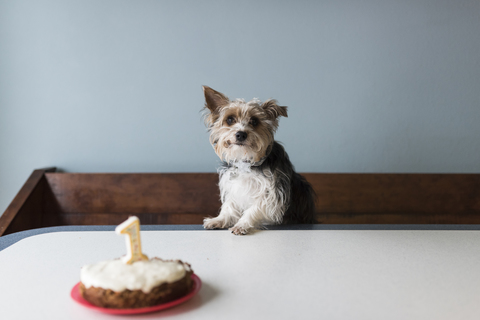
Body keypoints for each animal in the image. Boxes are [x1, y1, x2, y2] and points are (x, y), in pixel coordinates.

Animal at [200, 85, 316, 235]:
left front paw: (241, 225)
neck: (246, 160)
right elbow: (229, 205)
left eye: (254, 121)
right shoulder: (233, 185)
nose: (241, 134)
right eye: (230, 119)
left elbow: (255, 208)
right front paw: (219, 220)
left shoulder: (272, 193)